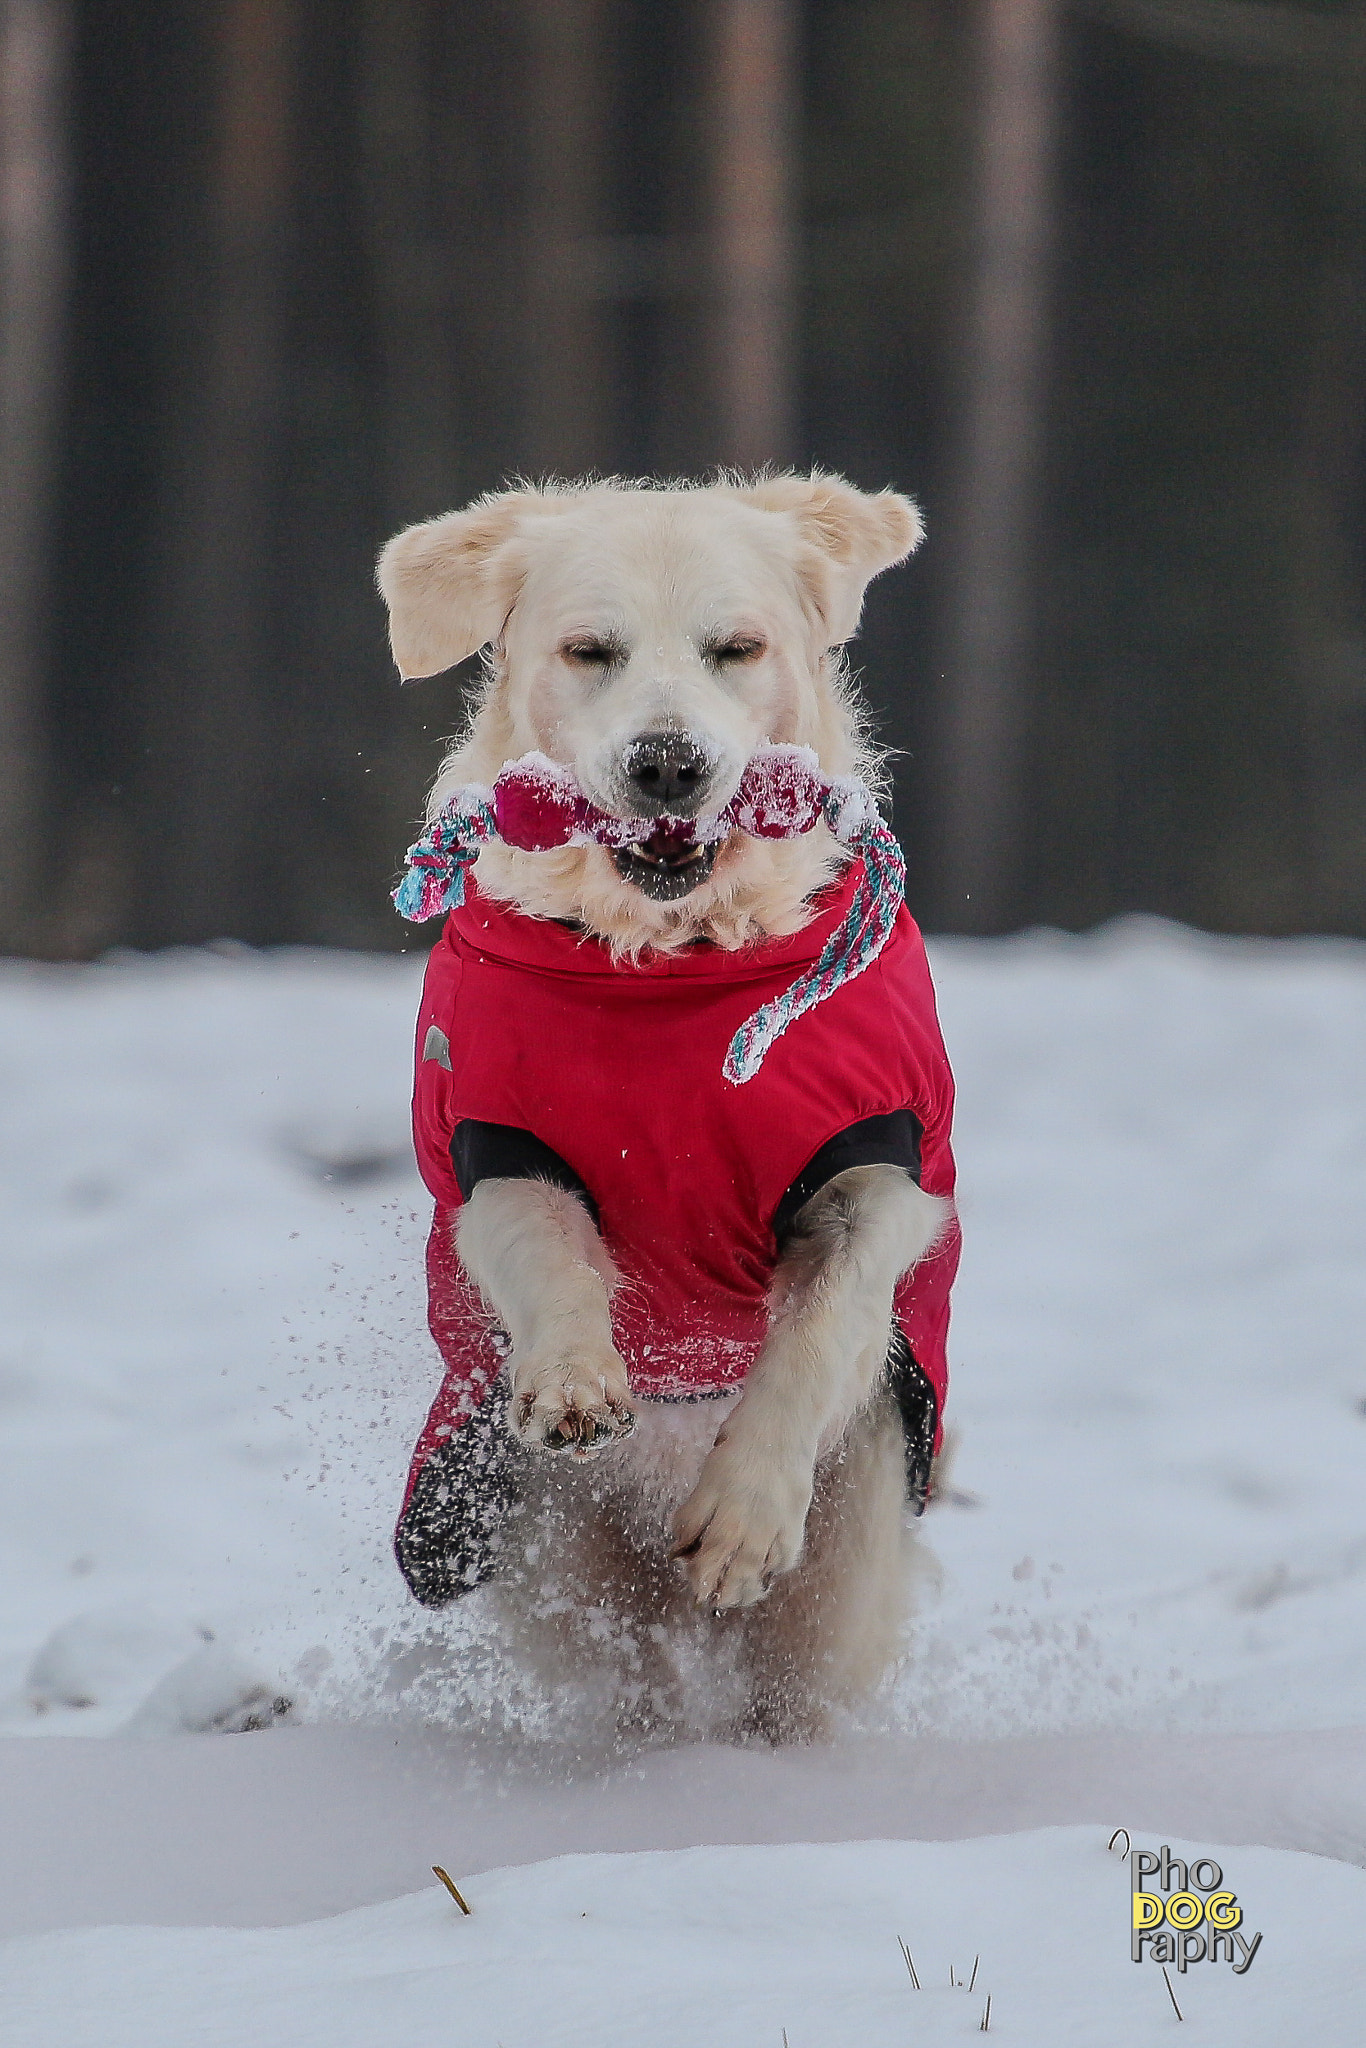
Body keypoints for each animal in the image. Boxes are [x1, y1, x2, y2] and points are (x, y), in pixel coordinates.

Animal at [378, 479, 958, 1744]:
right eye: (588, 650)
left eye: (736, 648)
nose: (666, 763)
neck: (673, 968)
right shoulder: (499, 1144)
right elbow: (547, 1250)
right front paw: (574, 1379)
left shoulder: (875, 1166)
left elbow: (824, 1321)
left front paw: (740, 1514)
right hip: (561, 1559)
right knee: (628, 1672)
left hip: (845, 1562)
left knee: (793, 1682)